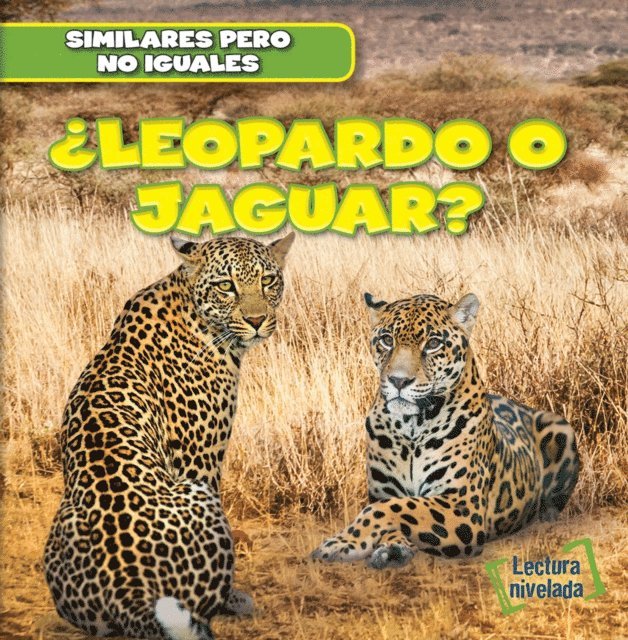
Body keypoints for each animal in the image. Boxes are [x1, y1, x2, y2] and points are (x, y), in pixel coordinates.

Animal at [44, 232, 294, 639]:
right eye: (226, 286)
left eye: (268, 281)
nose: (257, 321)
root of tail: (129, 586)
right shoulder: (200, 460)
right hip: (198, 493)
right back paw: (234, 601)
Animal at [312, 291, 579, 569]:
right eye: (387, 340)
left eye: (433, 343)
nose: (398, 380)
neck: (412, 426)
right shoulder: (383, 492)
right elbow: (392, 508)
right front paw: (391, 548)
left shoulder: (464, 510)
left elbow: (391, 508)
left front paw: (342, 543)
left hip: (561, 427)